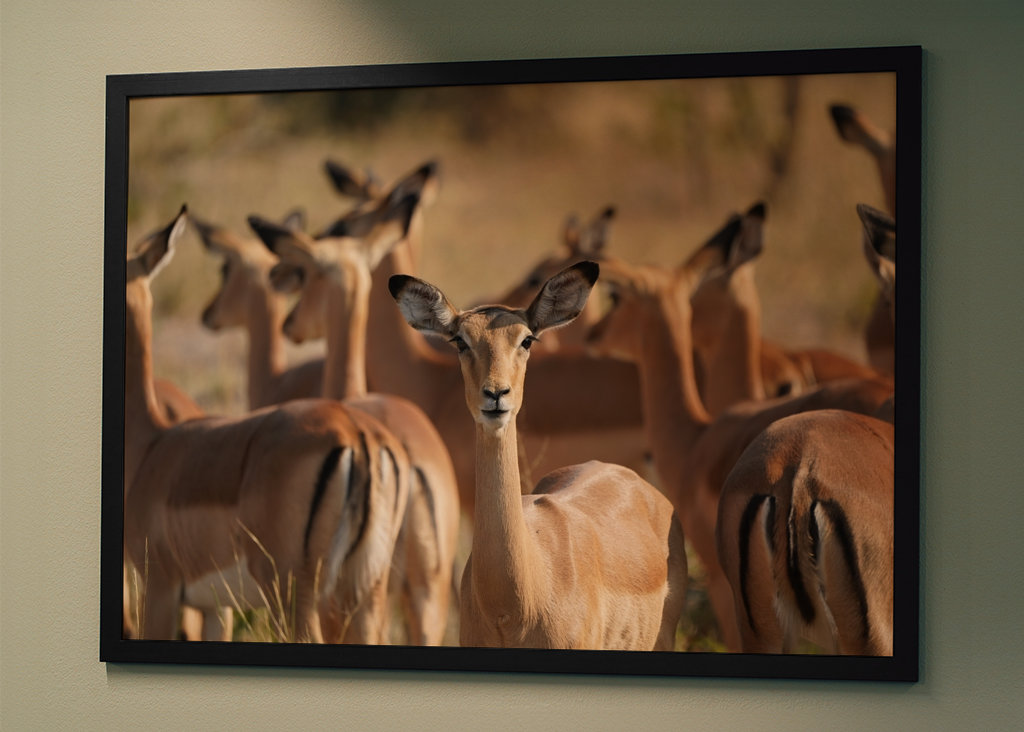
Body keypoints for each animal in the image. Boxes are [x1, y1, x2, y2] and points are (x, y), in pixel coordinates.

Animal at [123, 206, 408, 643]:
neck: (150, 446)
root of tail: (356, 434)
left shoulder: (160, 590)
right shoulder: (216, 607)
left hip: (293, 595)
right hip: (365, 591)